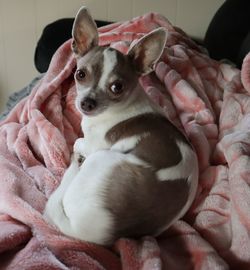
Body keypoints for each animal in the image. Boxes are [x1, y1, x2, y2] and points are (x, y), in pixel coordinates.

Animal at [43, 6, 199, 247]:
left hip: (100, 159)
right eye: (80, 74)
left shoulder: (95, 145)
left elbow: (79, 140)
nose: (87, 103)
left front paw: (77, 148)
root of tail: (97, 234)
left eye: (117, 87)